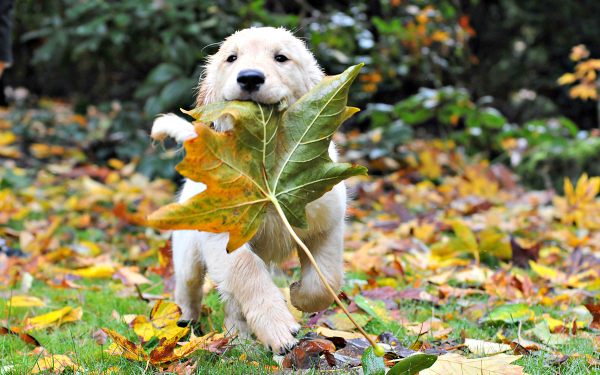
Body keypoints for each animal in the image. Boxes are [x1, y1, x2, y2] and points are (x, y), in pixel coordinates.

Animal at [150, 27, 346, 356]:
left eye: (281, 58)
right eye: (232, 58)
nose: (250, 78)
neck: (266, 162)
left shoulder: (327, 224)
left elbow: (326, 278)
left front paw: (300, 296)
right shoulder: (223, 238)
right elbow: (248, 273)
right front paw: (278, 327)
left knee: (232, 305)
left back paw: (239, 339)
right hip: (188, 251)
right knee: (189, 291)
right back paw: (186, 328)